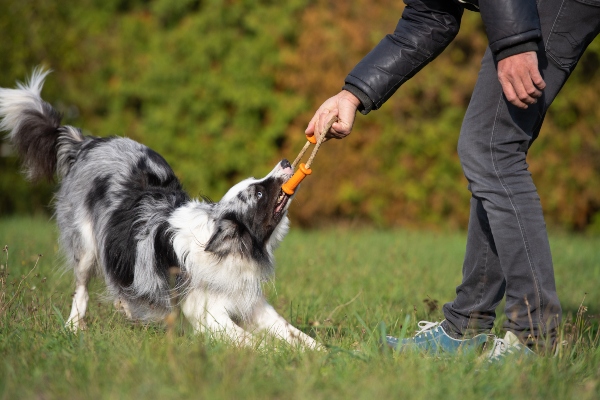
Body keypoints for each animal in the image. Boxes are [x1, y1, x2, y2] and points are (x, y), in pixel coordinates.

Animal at [1, 69, 324, 350]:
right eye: (258, 192)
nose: (285, 161)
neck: (231, 250)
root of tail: (87, 143)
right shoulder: (209, 315)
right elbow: (256, 342)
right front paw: (281, 356)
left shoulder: (250, 301)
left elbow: (289, 331)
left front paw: (320, 352)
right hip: (86, 244)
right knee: (81, 288)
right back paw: (74, 327)